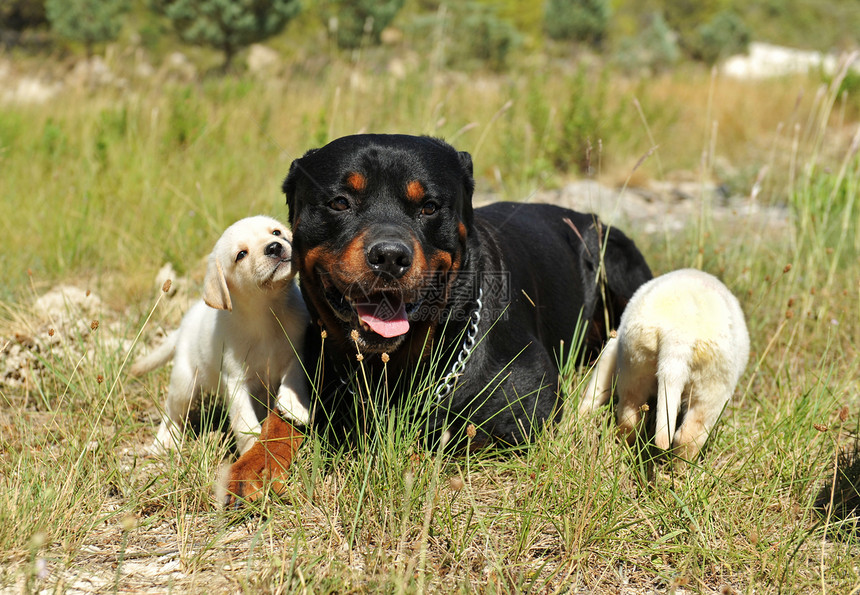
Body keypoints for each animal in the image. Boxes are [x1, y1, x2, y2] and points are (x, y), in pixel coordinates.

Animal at [131, 217, 310, 454]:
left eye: (276, 232)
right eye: (241, 254)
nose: (274, 247)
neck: (266, 313)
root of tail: (184, 324)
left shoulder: (296, 351)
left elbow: (294, 377)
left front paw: (294, 406)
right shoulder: (235, 381)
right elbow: (244, 422)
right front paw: (254, 448)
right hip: (184, 384)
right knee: (171, 414)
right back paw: (164, 440)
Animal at [222, 135, 652, 502]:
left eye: (429, 206)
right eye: (340, 202)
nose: (389, 255)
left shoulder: (530, 405)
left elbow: (450, 435)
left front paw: (400, 462)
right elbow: (281, 419)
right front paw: (256, 463)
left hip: (615, 256)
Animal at [580, 268, 748, 460]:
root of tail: (679, 334)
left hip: (636, 363)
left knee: (631, 416)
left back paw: (624, 448)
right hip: (713, 386)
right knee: (689, 435)